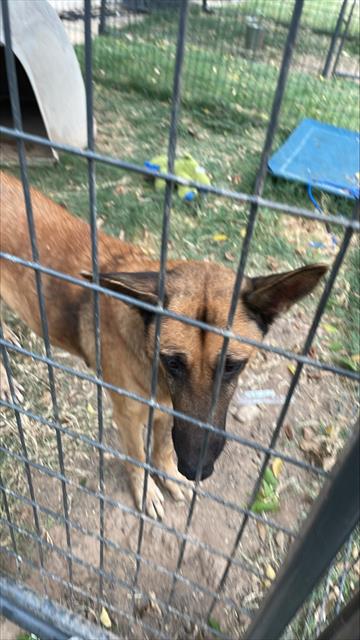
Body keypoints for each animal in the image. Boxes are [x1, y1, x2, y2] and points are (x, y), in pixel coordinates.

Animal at [0, 171, 326, 520]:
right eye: (172, 363)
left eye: (233, 366)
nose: (196, 469)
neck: (146, 354)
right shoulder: (129, 418)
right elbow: (137, 458)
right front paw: (146, 491)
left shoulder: (169, 410)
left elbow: (162, 447)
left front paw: (168, 475)